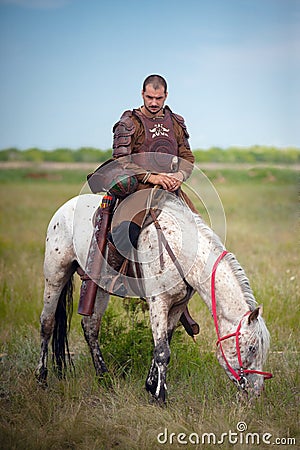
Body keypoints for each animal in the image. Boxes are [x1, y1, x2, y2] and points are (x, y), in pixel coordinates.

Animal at [35, 192, 272, 402]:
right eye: (252, 348)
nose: (256, 393)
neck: (183, 251)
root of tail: (64, 208)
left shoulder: (177, 305)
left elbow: (164, 341)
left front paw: (151, 386)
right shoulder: (158, 302)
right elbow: (162, 351)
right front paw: (160, 397)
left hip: (98, 288)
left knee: (90, 328)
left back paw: (104, 378)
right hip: (55, 275)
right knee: (47, 323)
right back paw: (41, 378)